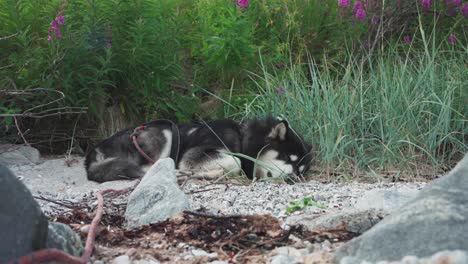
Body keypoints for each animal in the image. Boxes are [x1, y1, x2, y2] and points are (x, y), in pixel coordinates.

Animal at [86, 116, 312, 183]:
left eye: (300, 171)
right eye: (286, 157)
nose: (293, 178)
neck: (242, 139)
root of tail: (93, 152)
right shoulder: (193, 155)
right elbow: (236, 161)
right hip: (165, 135)